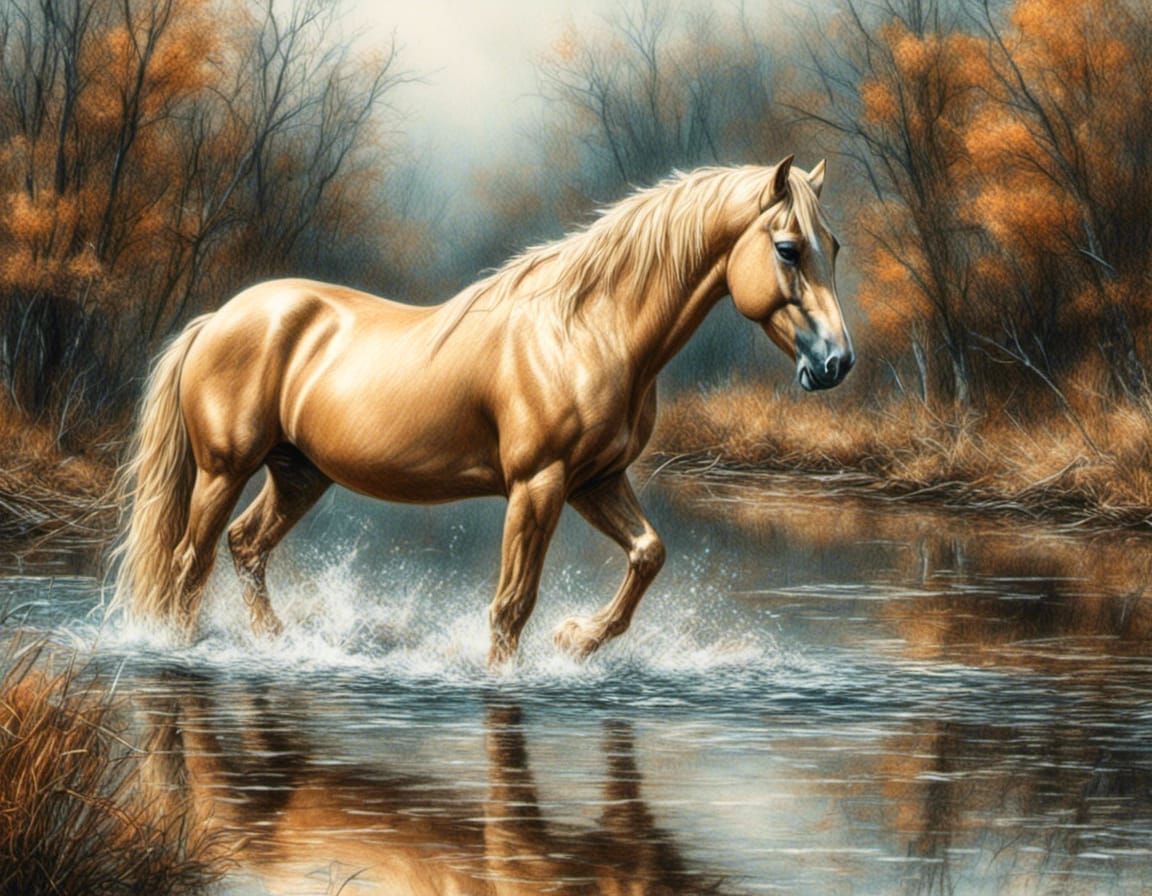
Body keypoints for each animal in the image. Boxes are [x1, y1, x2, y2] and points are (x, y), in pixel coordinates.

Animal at [113, 156, 853, 667]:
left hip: (298, 474)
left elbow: (649, 553)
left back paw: (274, 643)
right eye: (788, 248)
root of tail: (217, 318)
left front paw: (577, 640)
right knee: (190, 562)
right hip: (224, 469)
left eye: (836, 247)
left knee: (245, 547)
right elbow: (511, 605)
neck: (587, 332)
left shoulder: (594, 482)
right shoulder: (538, 485)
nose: (836, 363)